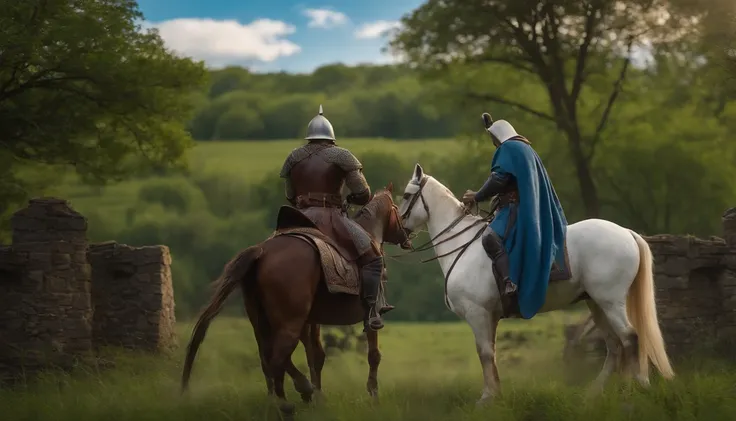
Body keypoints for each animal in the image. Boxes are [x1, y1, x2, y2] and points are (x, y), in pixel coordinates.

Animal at [181, 183, 412, 414]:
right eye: (396, 208)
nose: (406, 236)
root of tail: (262, 251)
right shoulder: (370, 316)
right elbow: (373, 355)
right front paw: (373, 396)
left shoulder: (311, 320)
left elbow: (315, 356)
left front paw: (319, 397)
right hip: (289, 323)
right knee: (276, 359)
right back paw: (288, 402)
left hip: (261, 320)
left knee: (267, 358)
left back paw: (280, 398)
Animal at [396, 163, 672, 404]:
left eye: (407, 195)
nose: (399, 232)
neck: (462, 245)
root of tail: (627, 233)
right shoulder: (489, 316)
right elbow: (491, 354)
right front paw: (496, 395)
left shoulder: (478, 313)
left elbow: (484, 353)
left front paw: (486, 398)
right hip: (596, 304)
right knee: (614, 346)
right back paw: (593, 394)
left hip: (611, 302)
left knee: (630, 338)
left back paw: (635, 388)